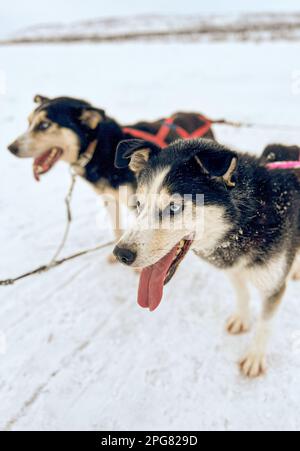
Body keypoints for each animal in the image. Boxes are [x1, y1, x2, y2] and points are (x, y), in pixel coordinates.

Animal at [113, 138, 300, 378]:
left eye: (174, 207)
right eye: (138, 204)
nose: (121, 254)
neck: (247, 220)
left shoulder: (272, 286)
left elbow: (265, 324)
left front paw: (255, 356)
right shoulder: (233, 270)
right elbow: (242, 294)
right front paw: (242, 318)